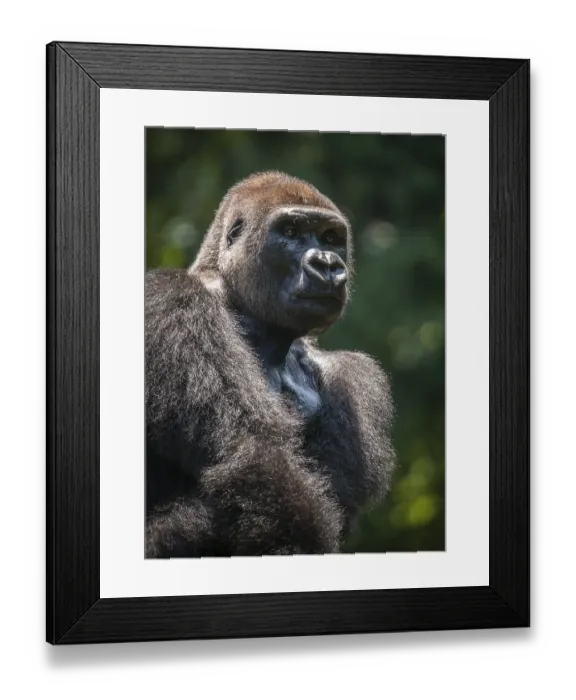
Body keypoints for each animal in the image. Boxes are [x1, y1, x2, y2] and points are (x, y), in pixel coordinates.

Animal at [145, 171, 395, 557]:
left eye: (330, 238)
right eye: (290, 232)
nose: (327, 264)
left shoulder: (345, 375)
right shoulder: (176, 302)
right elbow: (253, 454)